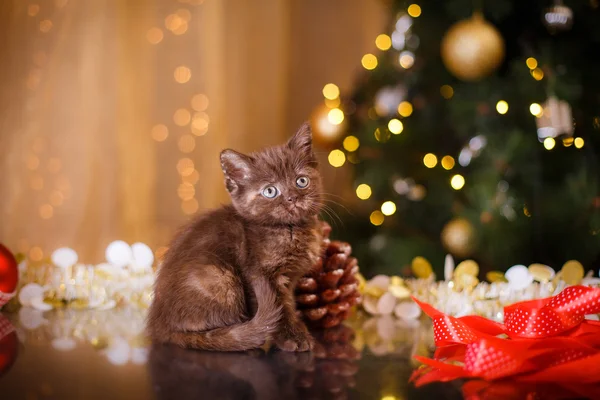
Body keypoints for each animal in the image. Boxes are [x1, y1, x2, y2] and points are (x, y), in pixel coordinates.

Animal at [146, 122, 324, 350]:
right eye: (270, 191)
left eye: (301, 181)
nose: (292, 198)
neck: (290, 231)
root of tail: (159, 326)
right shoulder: (259, 274)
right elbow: (281, 310)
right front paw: (292, 338)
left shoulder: (291, 279)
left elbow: (289, 305)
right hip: (221, 278)